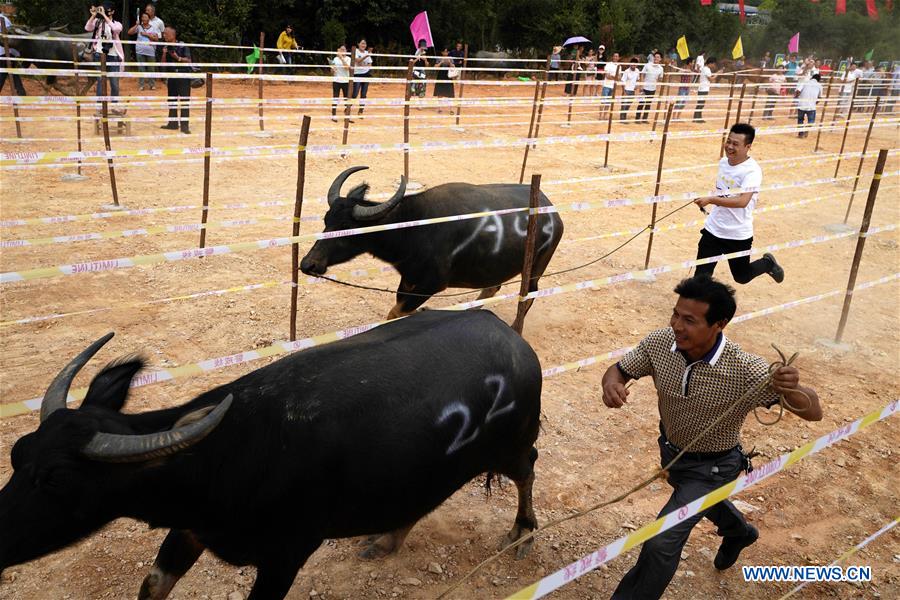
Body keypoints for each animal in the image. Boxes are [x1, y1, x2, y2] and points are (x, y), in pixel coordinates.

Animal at [0, 310, 540, 600]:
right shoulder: (190, 529)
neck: (227, 456)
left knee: (526, 471)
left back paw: (522, 533)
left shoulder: (287, 554)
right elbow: (152, 585)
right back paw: (388, 537)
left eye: (57, 479)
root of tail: (506, 331)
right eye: (17, 454)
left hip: (513, 445)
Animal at [300, 165, 564, 318]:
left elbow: (394, 313)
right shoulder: (408, 279)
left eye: (346, 228)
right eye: (326, 220)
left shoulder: (431, 285)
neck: (413, 228)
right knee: (492, 287)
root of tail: (551, 211)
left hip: (535, 268)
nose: (308, 264)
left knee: (529, 294)